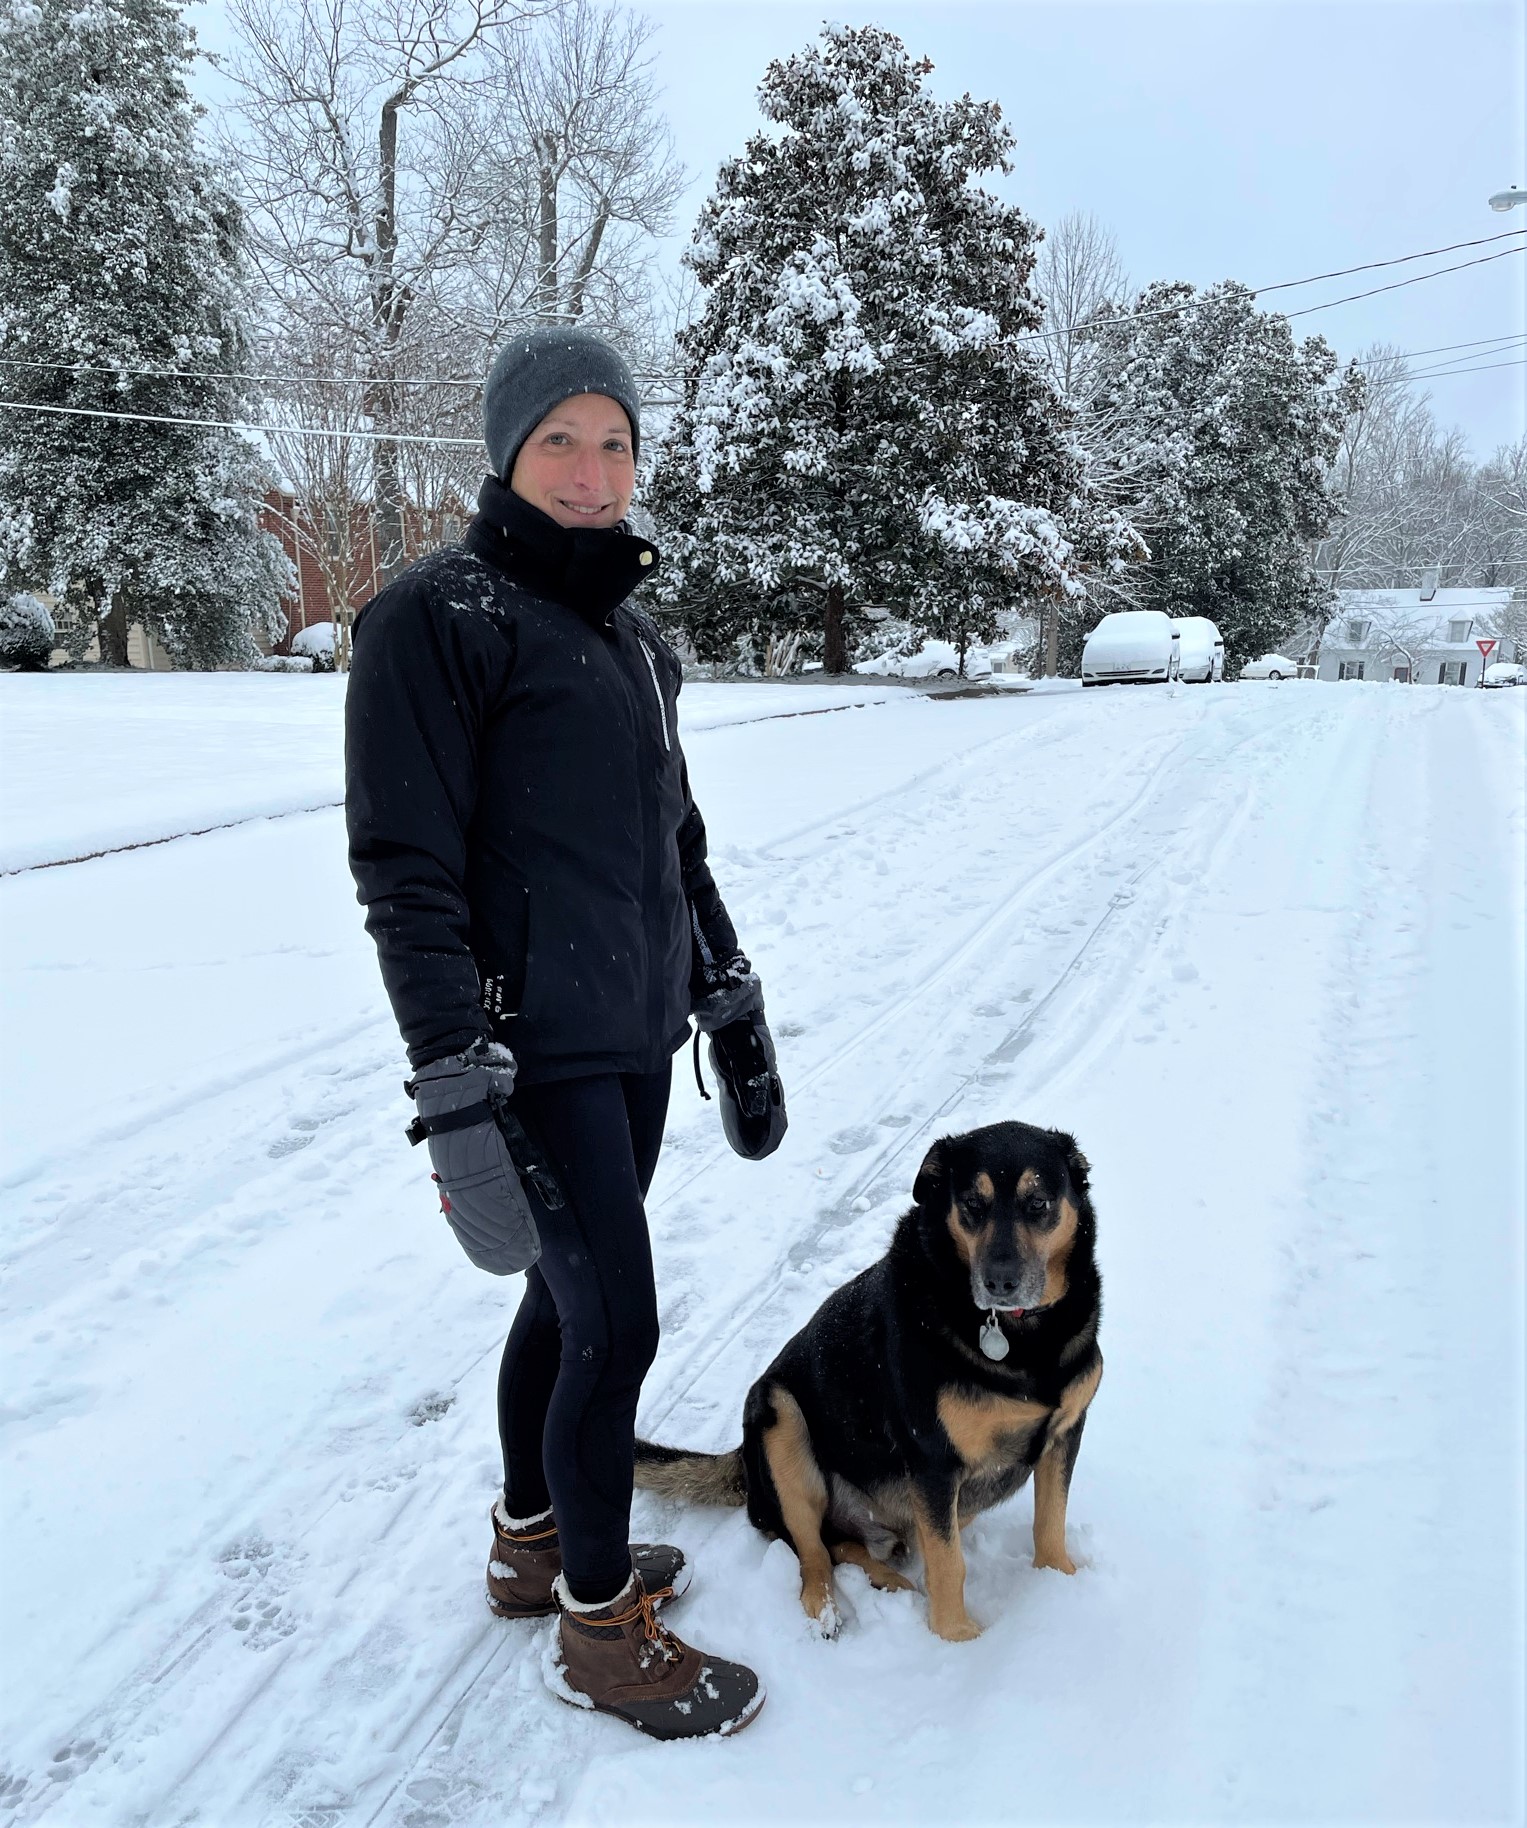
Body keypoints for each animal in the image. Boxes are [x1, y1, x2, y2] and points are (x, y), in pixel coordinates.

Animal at [640, 1111, 1104, 1645]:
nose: (999, 1283)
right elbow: (950, 1564)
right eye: (972, 1204)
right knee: (814, 1553)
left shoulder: (1065, 1433)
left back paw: (891, 1579)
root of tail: (742, 1460)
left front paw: (1060, 1583)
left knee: (844, 1543)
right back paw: (829, 1609)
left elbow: (1049, 1522)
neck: (1022, 1337)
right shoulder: (933, 1461)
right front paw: (958, 1641)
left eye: (1038, 1202)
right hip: (780, 1416)